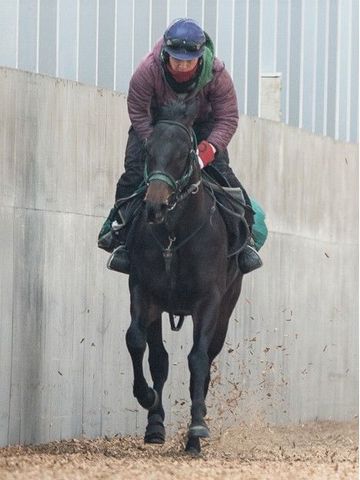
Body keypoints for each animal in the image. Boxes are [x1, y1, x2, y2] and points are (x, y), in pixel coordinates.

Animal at [124, 101, 245, 454]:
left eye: (184, 155)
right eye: (148, 151)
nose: (155, 205)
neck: (174, 236)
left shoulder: (209, 301)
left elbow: (198, 360)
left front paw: (197, 428)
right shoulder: (143, 291)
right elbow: (137, 342)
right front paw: (147, 398)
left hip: (226, 308)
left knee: (206, 361)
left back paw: (194, 434)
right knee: (159, 359)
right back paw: (155, 425)